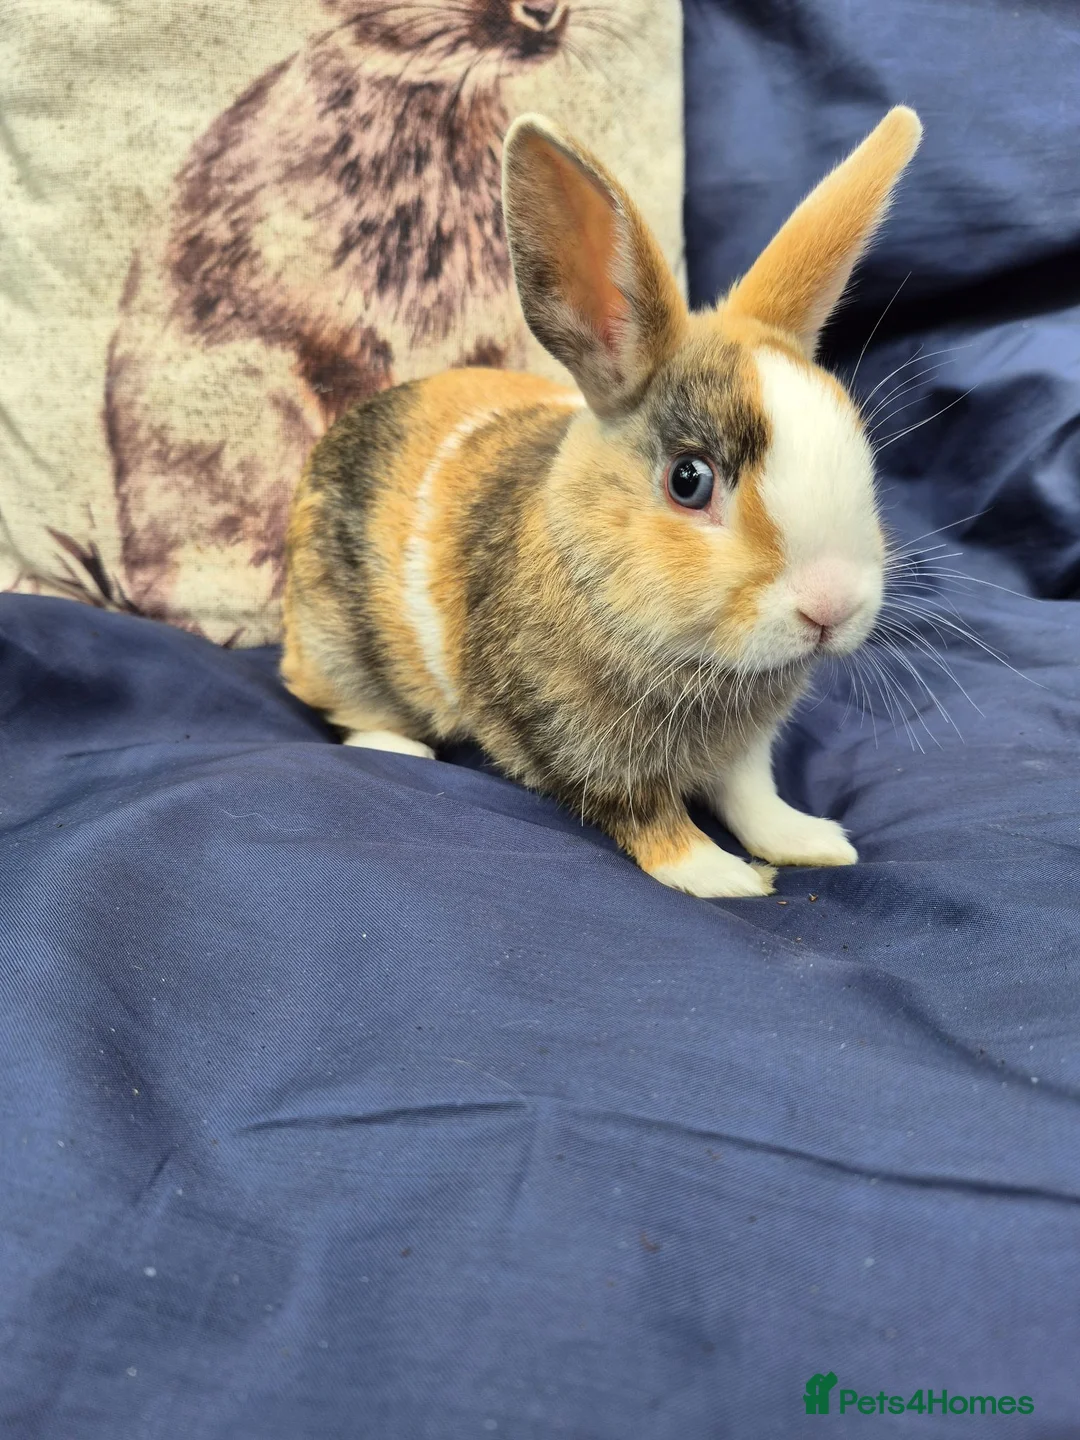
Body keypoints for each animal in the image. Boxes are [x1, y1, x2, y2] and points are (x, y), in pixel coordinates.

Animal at [280, 107, 922, 898]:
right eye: (689, 480)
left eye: (858, 446)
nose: (831, 606)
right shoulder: (583, 742)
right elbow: (648, 816)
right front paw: (723, 877)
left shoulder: (745, 750)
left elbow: (752, 796)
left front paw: (810, 842)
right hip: (340, 643)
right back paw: (401, 749)